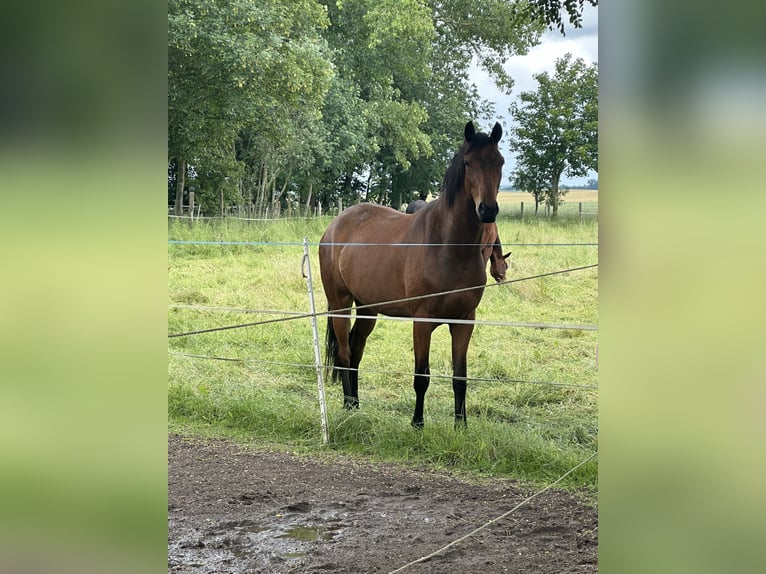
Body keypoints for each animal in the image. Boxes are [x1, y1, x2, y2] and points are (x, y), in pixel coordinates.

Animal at [318, 120, 504, 428]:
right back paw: (347, 406)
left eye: (499, 162)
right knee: (344, 354)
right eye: (468, 163)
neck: (448, 247)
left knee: (356, 351)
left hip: (368, 308)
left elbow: (460, 377)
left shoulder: (465, 321)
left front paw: (461, 426)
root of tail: (335, 225)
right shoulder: (422, 322)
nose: (488, 210)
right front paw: (417, 424)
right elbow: (421, 376)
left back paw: (356, 404)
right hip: (340, 305)